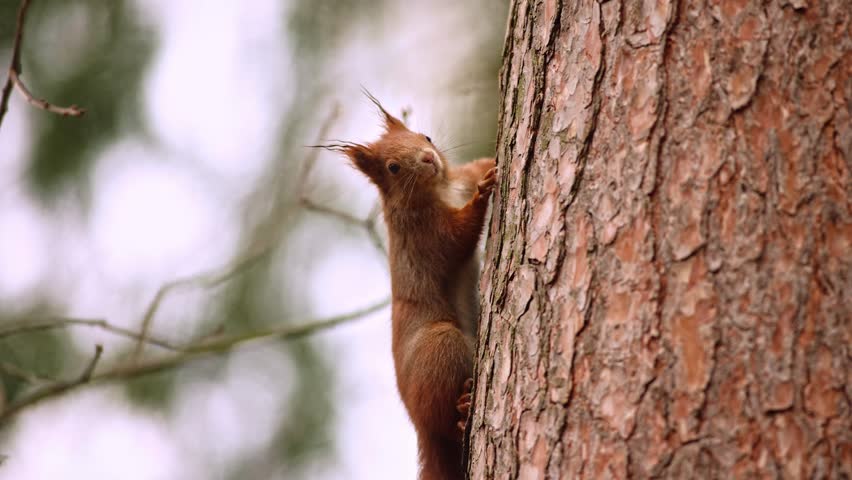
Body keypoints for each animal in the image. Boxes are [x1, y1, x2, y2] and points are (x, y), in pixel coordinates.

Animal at [325, 93, 496, 480]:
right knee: (443, 422)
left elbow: (477, 167)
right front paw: (482, 197)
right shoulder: (424, 234)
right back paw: (462, 409)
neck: (442, 189)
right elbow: (457, 238)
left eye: (425, 136)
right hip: (440, 345)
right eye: (393, 167)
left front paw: (493, 165)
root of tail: (419, 427)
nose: (428, 157)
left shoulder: (461, 175)